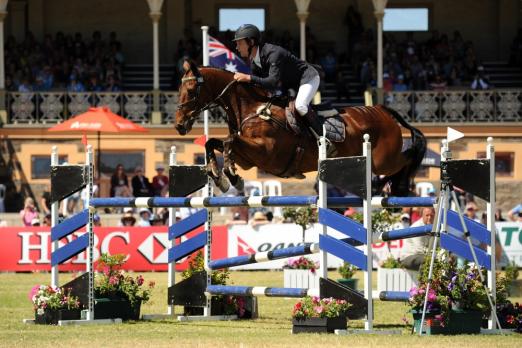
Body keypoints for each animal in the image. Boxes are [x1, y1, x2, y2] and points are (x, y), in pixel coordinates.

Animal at [173, 60, 424, 197]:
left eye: (192, 90)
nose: (178, 125)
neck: (252, 108)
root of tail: (383, 110)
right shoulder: (248, 158)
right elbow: (213, 143)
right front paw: (219, 177)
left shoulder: (266, 152)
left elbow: (228, 142)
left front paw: (232, 177)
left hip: (384, 159)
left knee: (407, 158)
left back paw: (395, 185)